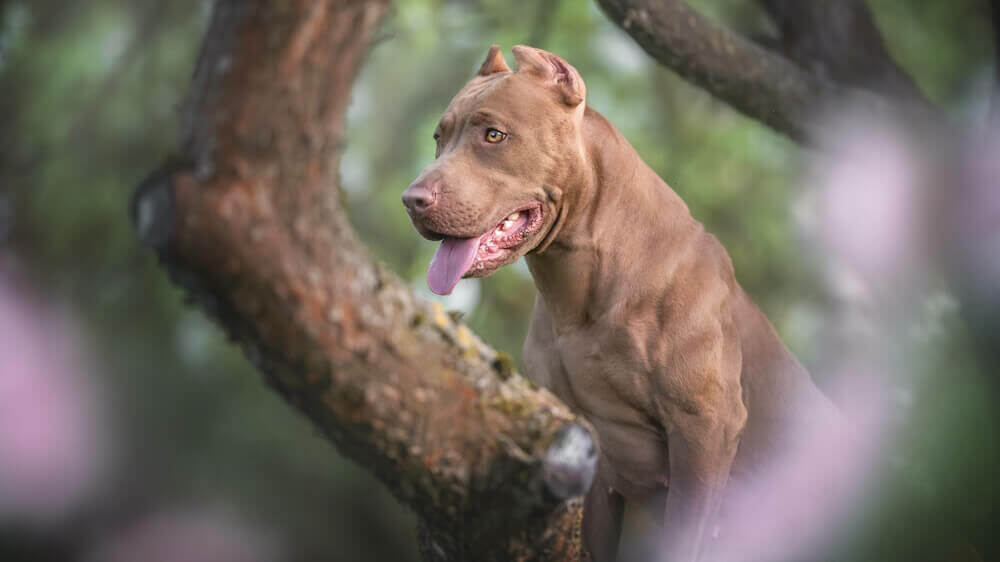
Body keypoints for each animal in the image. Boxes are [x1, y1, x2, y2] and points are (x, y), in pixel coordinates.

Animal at [402, 44, 840, 560]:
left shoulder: (705, 429)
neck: (580, 288)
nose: (411, 199)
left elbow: (685, 537)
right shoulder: (588, 460)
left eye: (493, 135)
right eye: (439, 137)